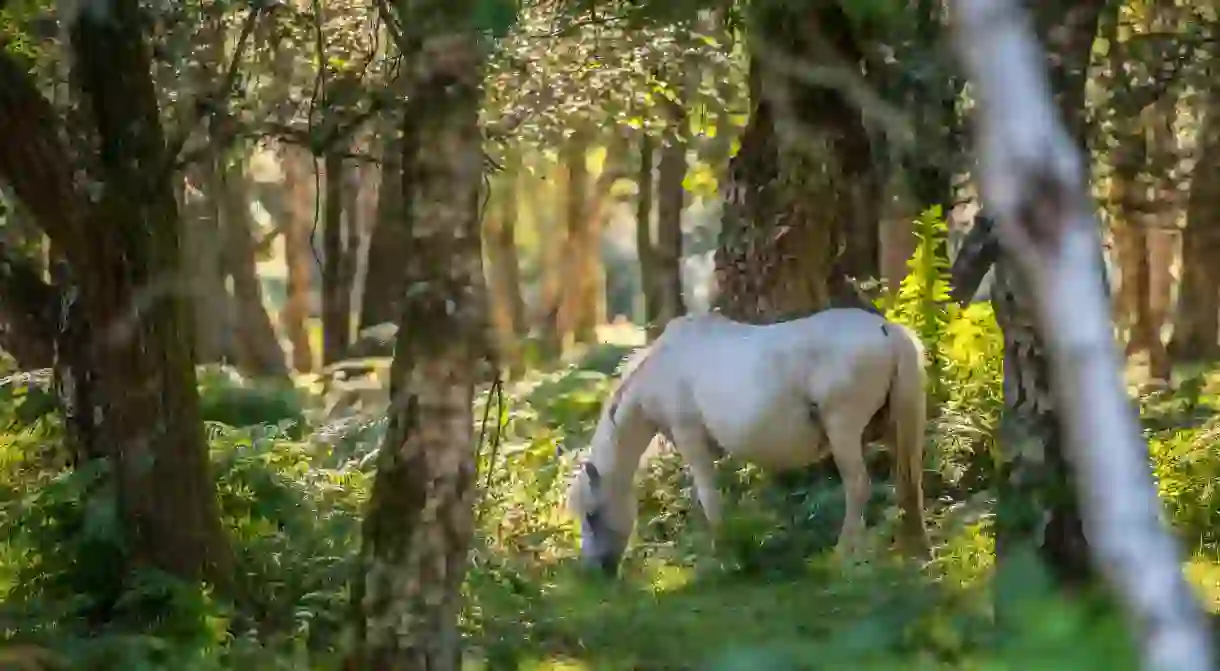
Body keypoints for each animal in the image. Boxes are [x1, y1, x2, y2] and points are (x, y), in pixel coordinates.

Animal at [566, 309, 927, 578]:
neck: (663, 365)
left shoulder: (690, 437)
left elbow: (708, 497)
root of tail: (887, 329)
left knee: (858, 487)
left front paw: (722, 554)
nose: (595, 571)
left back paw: (845, 556)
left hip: (844, 431)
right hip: (894, 429)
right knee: (908, 483)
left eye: (593, 515)